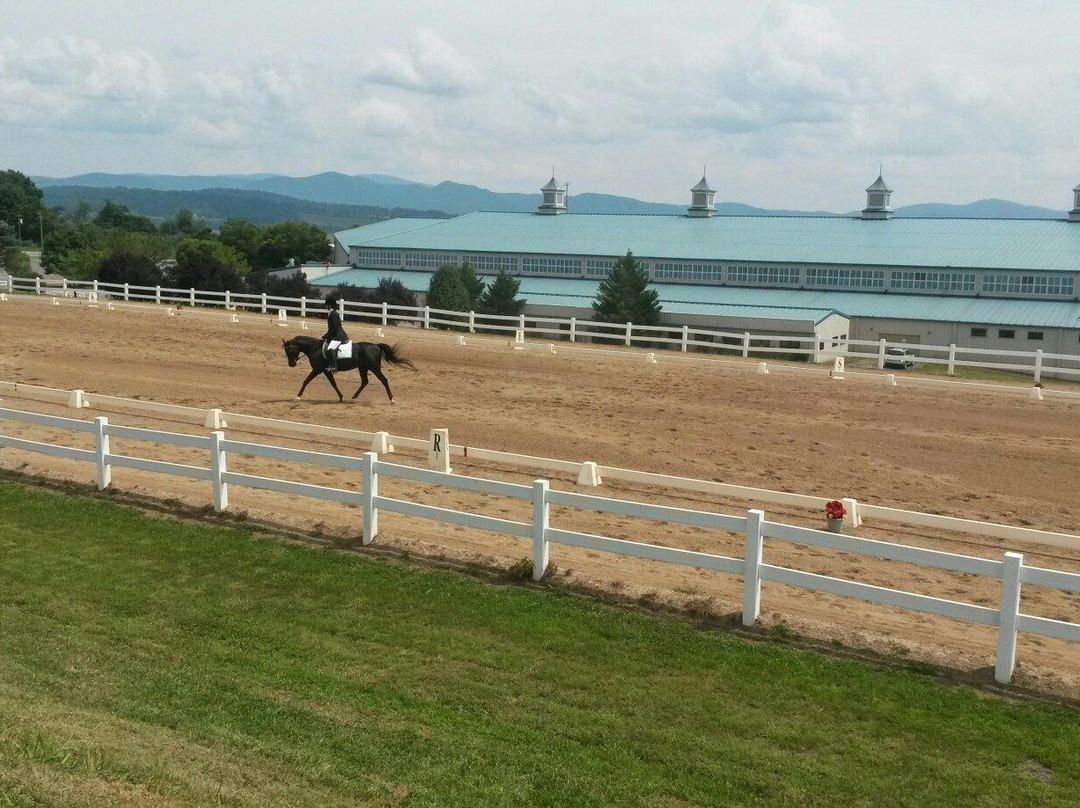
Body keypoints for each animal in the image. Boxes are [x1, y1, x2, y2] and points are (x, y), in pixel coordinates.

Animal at [282, 336, 416, 404]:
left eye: (289, 351)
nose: (291, 364)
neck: (315, 348)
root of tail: (376, 346)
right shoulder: (326, 370)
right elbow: (333, 384)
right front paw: (341, 397)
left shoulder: (318, 369)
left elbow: (306, 380)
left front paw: (298, 396)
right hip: (363, 367)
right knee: (365, 381)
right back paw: (354, 397)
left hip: (374, 368)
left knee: (384, 380)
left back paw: (392, 399)